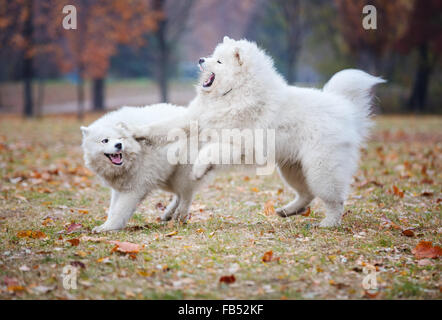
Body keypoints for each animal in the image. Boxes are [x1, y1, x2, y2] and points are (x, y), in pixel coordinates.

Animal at [81, 104, 212, 231]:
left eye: (120, 138)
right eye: (105, 140)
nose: (119, 145)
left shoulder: (135, 189)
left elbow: (120, 211)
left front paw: (109, 227)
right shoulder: (120, 188)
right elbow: (113, 209)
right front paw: (106, 225)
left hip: (181, 175)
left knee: (186, 195)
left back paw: (181, 217)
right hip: (166, 179)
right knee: (179, 195)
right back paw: (168, 215)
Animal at [133, 37, 386, 228]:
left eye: (219, 61)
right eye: (212, 55)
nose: (200, 59)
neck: (232, 94)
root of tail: (345, 108)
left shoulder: (240, 145)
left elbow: (210, 152)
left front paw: (198, 169)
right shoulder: (194, 119)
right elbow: (164, 126)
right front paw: (137, 132)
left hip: (321, 169)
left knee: (334, 200)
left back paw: (328, 223)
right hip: (292, 168)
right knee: (306, 195)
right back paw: (287, 210)